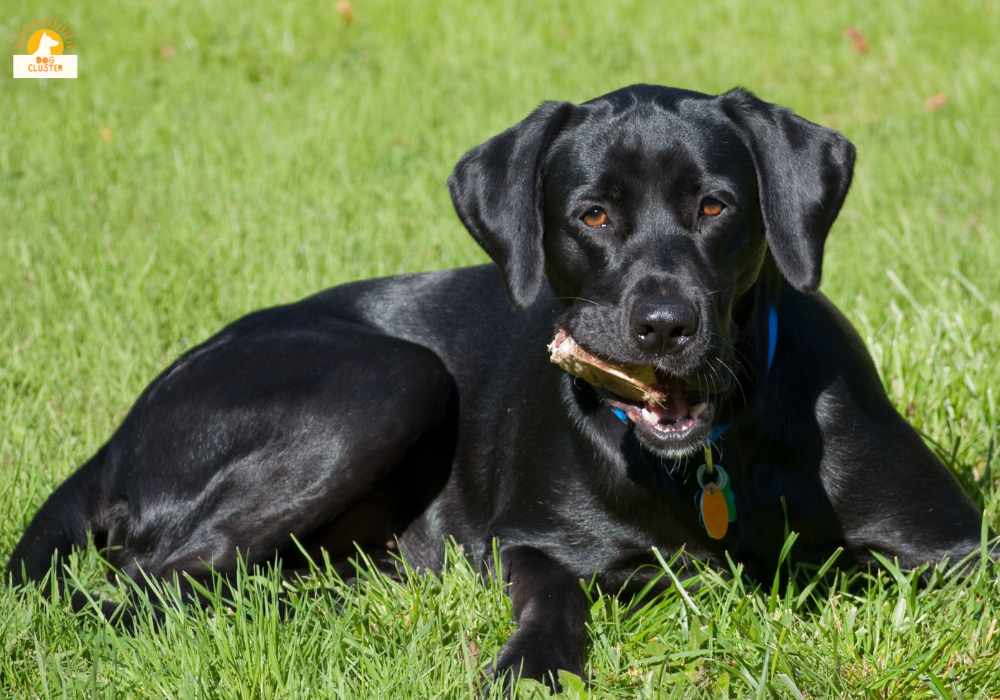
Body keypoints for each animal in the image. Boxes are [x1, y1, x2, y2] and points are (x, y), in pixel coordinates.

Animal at [3, 85, 980, 688]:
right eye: (592, 215)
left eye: (715, 206)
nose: (664, 326)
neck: (708, 457)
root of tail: (120, 430)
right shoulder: (534, 539)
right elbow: (556, 593)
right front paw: (535, 665)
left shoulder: (958, 547)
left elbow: (855, 562)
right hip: (393, 379)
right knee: (137, 588)